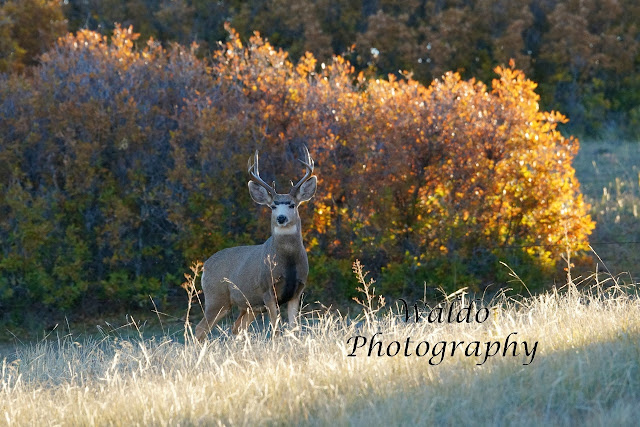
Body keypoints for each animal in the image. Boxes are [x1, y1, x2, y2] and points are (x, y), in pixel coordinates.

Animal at [194, 146, 316, 342]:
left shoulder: (296, 291)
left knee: (237, 328)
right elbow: (276, 330)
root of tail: (205, 266)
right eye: (273, 206)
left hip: (249, 306)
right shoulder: (267, 289)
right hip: (216, 297)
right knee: (200, 329)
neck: (287, 262)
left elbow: (294, 329)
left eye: (292, 205)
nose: (281, 218)